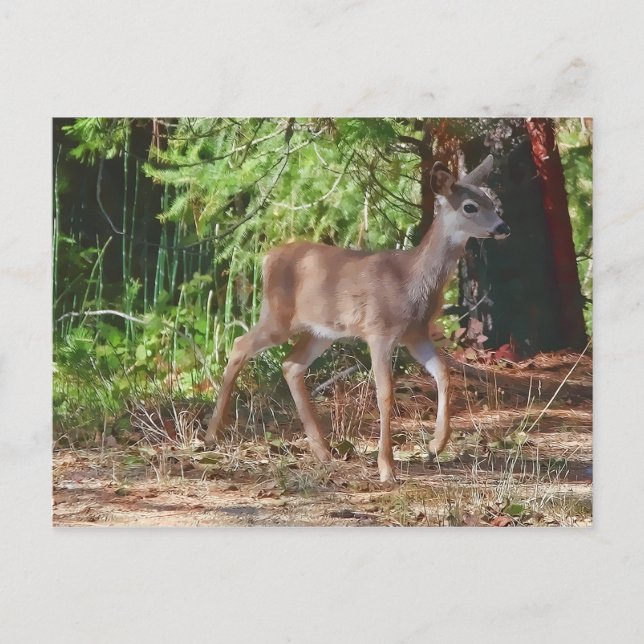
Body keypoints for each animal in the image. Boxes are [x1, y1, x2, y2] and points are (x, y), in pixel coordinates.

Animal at [204, 154, 510, 482]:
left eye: (490, 200)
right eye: (470, 206)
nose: (503, 226)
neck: (411, 278)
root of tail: (266, 258)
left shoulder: (415, 332)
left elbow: (443, 372)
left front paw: (435, 445)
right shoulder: (379, 330)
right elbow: (385, 393)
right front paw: (387, 468)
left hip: (321, 331)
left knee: (291, 364)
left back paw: (322, 451)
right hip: (278, 315)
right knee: (240, 344)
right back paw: (212, 434)